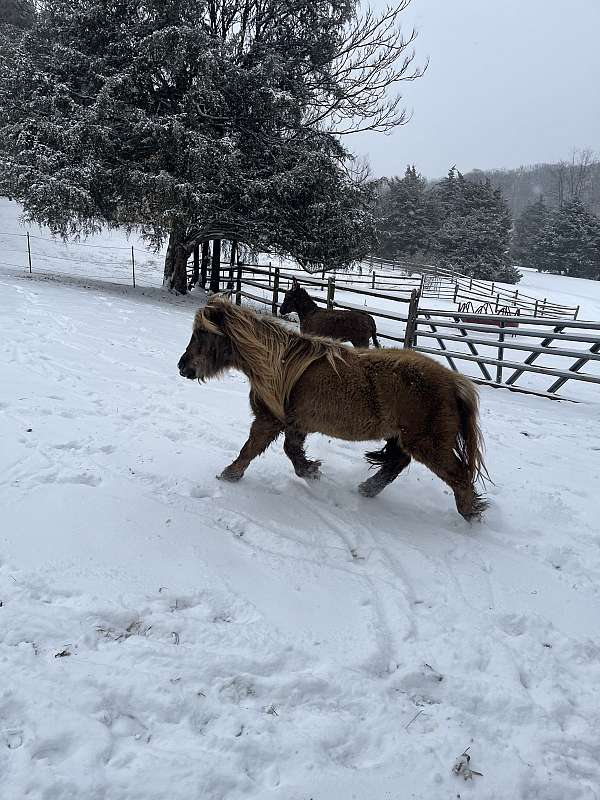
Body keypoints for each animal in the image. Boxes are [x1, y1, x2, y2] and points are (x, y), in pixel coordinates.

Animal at [177, 296, 488, 520]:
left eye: (201, 334)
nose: (183, 367)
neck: (280, 364)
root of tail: (454, 383)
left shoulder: (269, 421)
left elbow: (249, 449)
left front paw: (229, 475)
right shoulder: (295, 424)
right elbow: (292, 453)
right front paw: (311, 471)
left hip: (428, 444)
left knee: (459, 476)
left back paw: (470, 514)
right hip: (404, 438)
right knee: (397, 463)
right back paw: (368, 489)